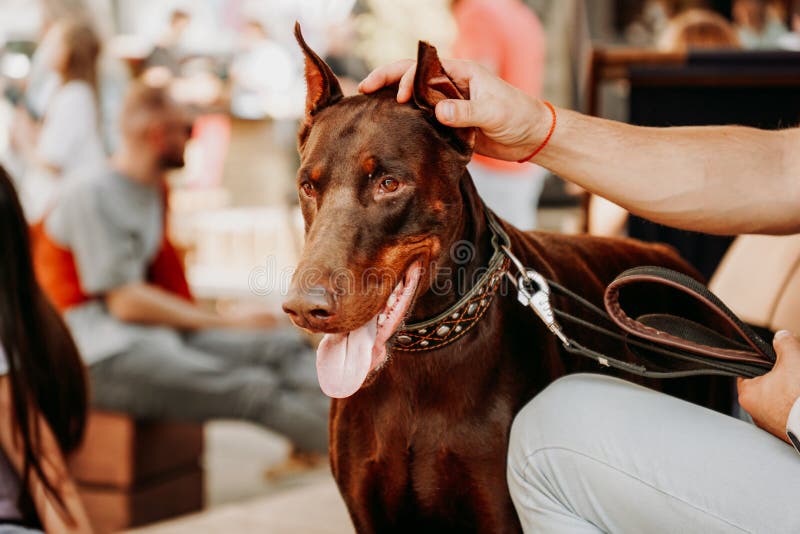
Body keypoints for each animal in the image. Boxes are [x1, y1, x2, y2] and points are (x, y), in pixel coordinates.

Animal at [282, 26, 732, 534]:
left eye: (389, 184)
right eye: (307, 185)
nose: (304, 308)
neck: (421, 360)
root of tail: (673, 261)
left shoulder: (499, 511)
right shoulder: (371, 516)